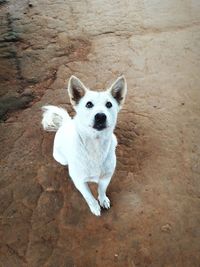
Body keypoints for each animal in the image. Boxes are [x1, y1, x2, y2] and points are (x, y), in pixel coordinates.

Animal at [41, 75, 127, 216]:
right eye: (89, 104)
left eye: (109, 104)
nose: (100, 116)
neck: (95, 145)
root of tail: (67, 122)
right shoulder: (80, 182)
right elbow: (88, 197)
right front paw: (95, 207)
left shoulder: (106, 177)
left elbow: (102, 190)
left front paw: (103, 200)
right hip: (60, 158)